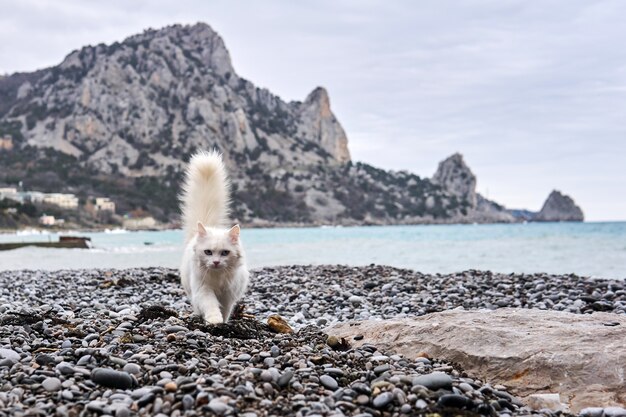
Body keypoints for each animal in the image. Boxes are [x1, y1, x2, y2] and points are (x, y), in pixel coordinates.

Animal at [177, 150, 247, 322]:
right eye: (208, 252)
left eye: (225, 253)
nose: (216, 262)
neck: (217, 277)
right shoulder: (203, 290)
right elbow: (211, 305)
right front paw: (214, 320)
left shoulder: (228, 295)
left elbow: (226, 310)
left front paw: (223, 320)